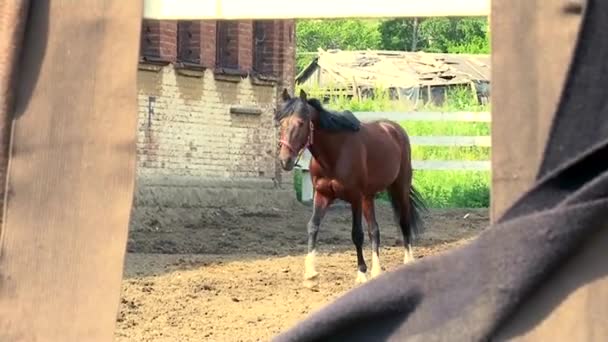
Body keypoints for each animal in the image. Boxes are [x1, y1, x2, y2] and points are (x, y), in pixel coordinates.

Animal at [276, 89, 428, 288]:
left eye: (301, 123)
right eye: (281, 123)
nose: (285, 160)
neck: (334, 154)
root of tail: (394, 128)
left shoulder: (355, 197)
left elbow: (357, 234)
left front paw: (361, 273)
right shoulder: (322, 195)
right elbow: (313, 226)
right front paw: (310, 274)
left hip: (399, 187)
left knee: (404, 221)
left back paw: (407, 261)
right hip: (368, 197)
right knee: (374, 230)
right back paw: (377, 271)